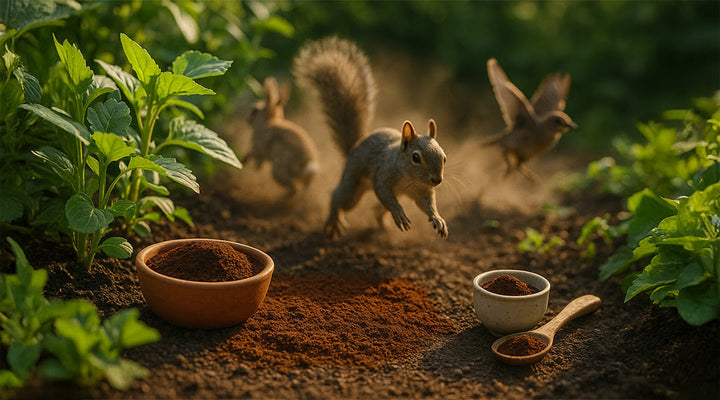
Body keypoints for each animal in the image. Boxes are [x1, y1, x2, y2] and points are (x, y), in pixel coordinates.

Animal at [293, 37, 448, 238]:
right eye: (416, 157)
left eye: (444, 157)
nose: (437, 180)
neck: (410, 180)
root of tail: (354, 148)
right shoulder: (383, 175)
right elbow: (385, 194)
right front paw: (399, 213)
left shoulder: (422, 191)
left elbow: (428, 205)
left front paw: (438, 219)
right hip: (353, 187)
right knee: (337, 198)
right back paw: (334, 220)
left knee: (377, 209)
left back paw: (381, 222)